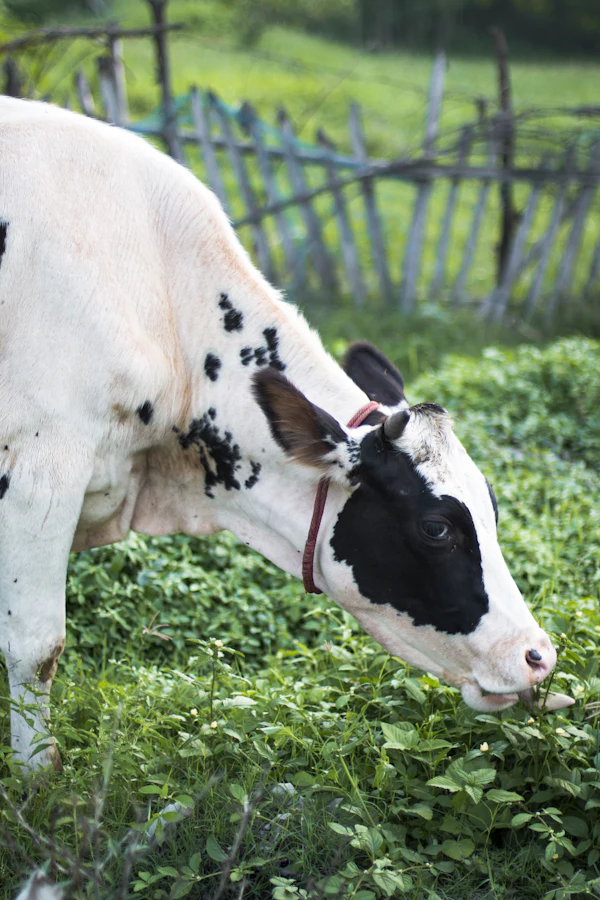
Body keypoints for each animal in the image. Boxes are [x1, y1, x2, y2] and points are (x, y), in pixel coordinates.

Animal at [0, 97, 571, 772]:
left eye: (493, 506)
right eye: (437, 528)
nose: (537, 656)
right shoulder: (39, 475)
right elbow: (36, 646)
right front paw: (37, 782)